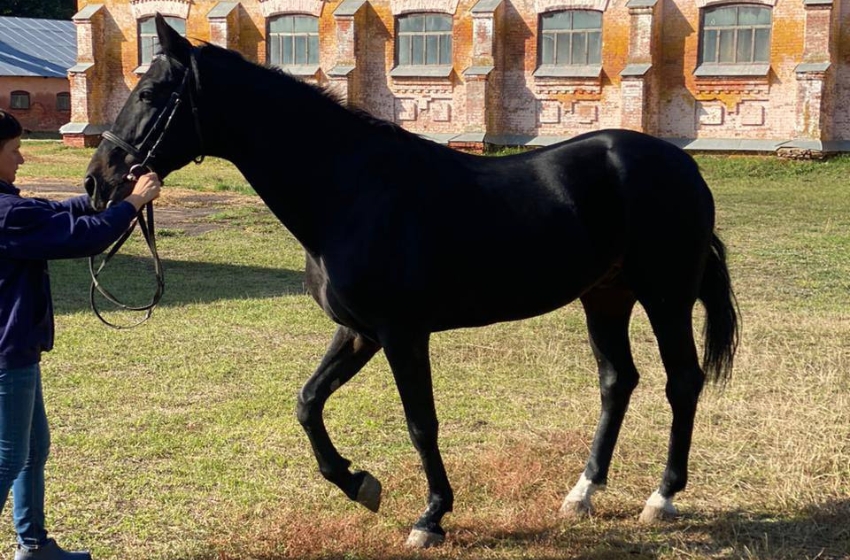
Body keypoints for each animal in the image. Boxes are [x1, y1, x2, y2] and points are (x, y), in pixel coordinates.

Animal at [84, 15, 736, 548]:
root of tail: (682, 165)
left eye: (150, 93)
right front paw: (357, 483)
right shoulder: (359, 332)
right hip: (604, 297)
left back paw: (662, 497)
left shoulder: (402, 335)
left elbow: (421, 423)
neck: (351, 192)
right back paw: (582, 493)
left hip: (665, 297)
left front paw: (431, 516)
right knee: (617, 381)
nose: (98, 181)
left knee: (682, 381)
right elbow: (307, 402)